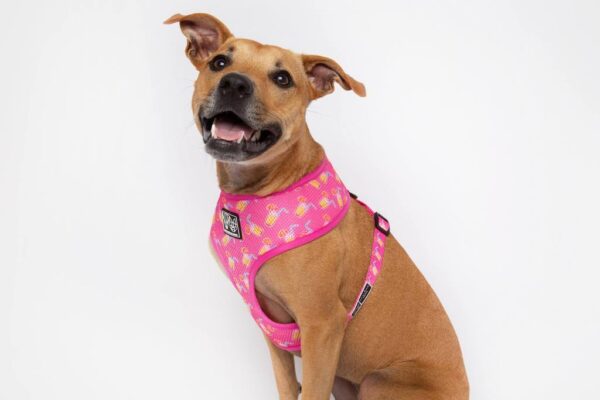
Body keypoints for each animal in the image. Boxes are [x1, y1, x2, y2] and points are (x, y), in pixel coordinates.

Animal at [164, 12, 468, 400]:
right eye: (219, 63)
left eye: (282, 78)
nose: (234, 84)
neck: (262, 190)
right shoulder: (272, 328)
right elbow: (286, 386)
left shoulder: (321, 326)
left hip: (379, 382)